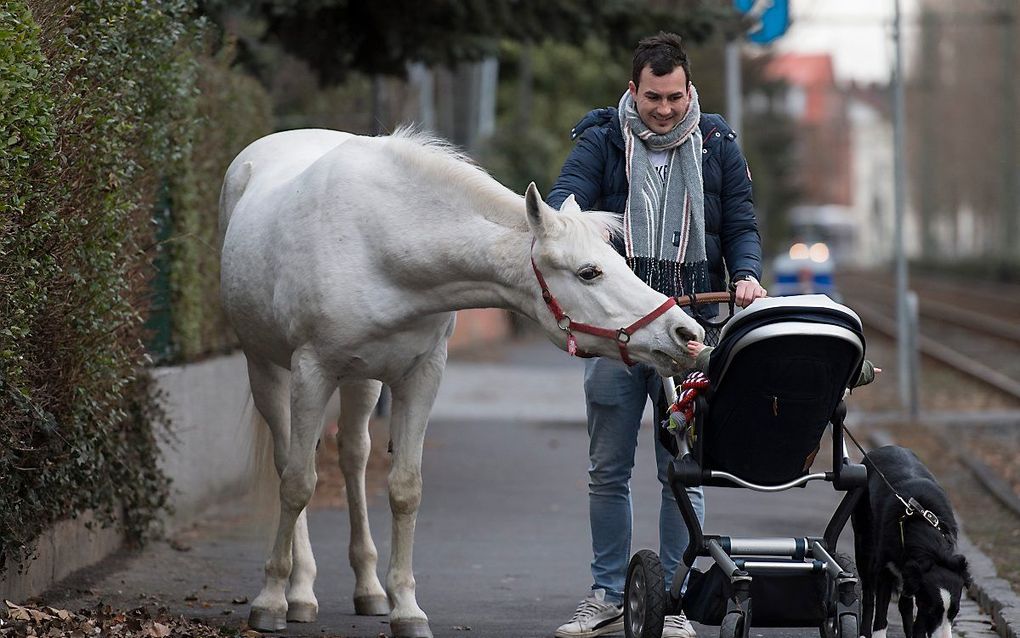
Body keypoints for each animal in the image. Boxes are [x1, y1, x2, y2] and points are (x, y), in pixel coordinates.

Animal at [219, 127, 705, 632]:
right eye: (589, 272)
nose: (686, 334)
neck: (379, 244)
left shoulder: (421, 376)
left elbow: (405, 489)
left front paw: (406, 609)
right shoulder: (311, 371)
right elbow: (297, 483)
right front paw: (270, 600)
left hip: (361, 381)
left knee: (353, 456)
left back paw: (368, 589)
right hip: (267, 368)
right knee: (287, 462)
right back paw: (298, 592)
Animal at [848, 445, 966, 636]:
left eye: (954, 613)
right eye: (933, 611)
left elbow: (915, 615)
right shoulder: (886, 567)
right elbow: (881, 610)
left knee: (905, 604)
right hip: (863, 535)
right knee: (868, 591)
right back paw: (864, 631)